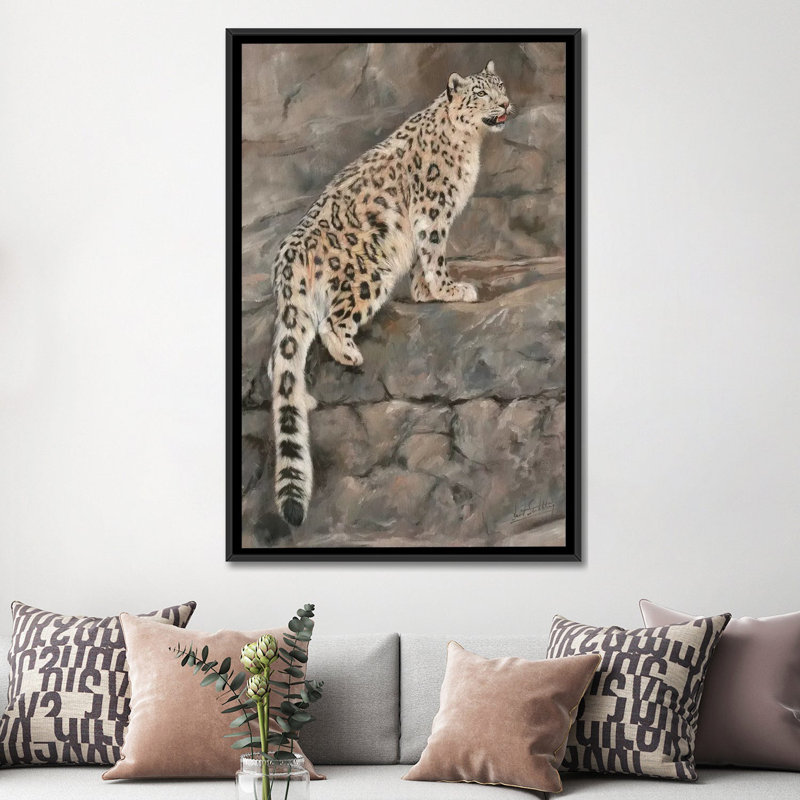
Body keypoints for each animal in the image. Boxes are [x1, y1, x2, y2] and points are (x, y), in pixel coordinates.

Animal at [269, 60, 513, 526]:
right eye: (480, 93)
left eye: (501, 86)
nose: (507, 104)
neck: (470, 145)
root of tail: (289, 255)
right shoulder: (433, 210)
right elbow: (434, 251)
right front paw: (450, 288)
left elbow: (422, 259)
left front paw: (424, 291)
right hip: (369, 271)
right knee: (332, 322)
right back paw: (349, 353)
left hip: (301, 309)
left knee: (280, 359)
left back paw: (302, 397)